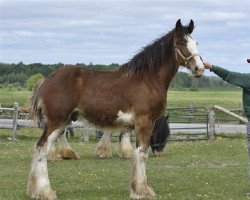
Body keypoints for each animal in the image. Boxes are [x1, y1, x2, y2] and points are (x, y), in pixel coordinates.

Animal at [27, 19, 204, 200]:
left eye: (195, 43)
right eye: (181, 43)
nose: (199, 68)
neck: (148, 79)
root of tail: (45, 81)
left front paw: (136, 188)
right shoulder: (144, 122)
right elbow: (141, 153)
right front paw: (142, 190)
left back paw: (36, 190)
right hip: (56, 122)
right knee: (42, 149)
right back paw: (45, 191)